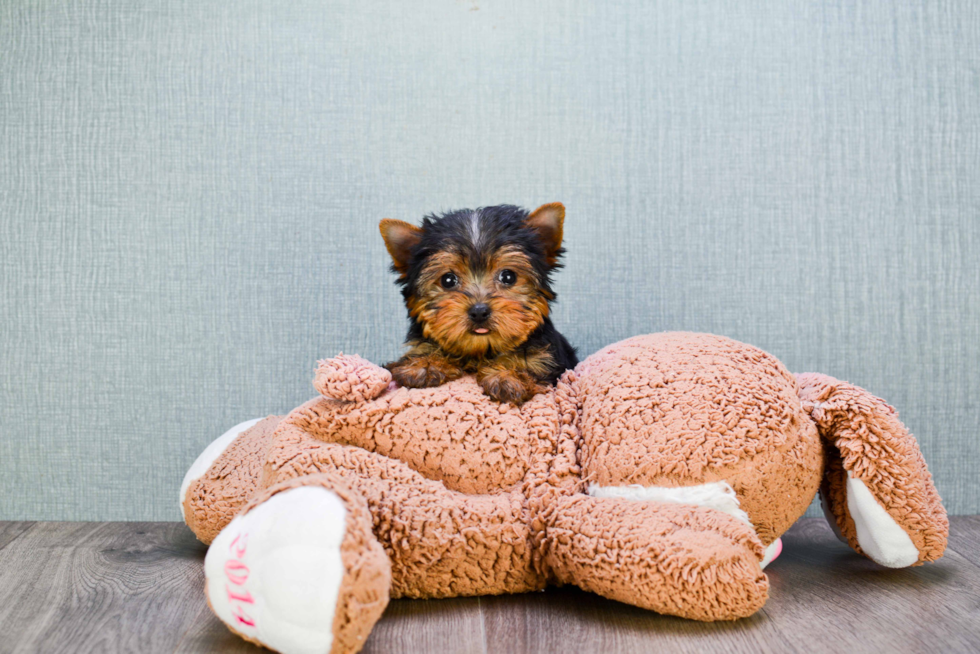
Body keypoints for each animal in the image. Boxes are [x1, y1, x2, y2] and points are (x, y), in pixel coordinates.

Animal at [378, 202, 580, 404]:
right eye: (448, 280)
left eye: (508, 276)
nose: (479, 311)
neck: (480, 351)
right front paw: (424, 364)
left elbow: (530, 364)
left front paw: (508, 375)